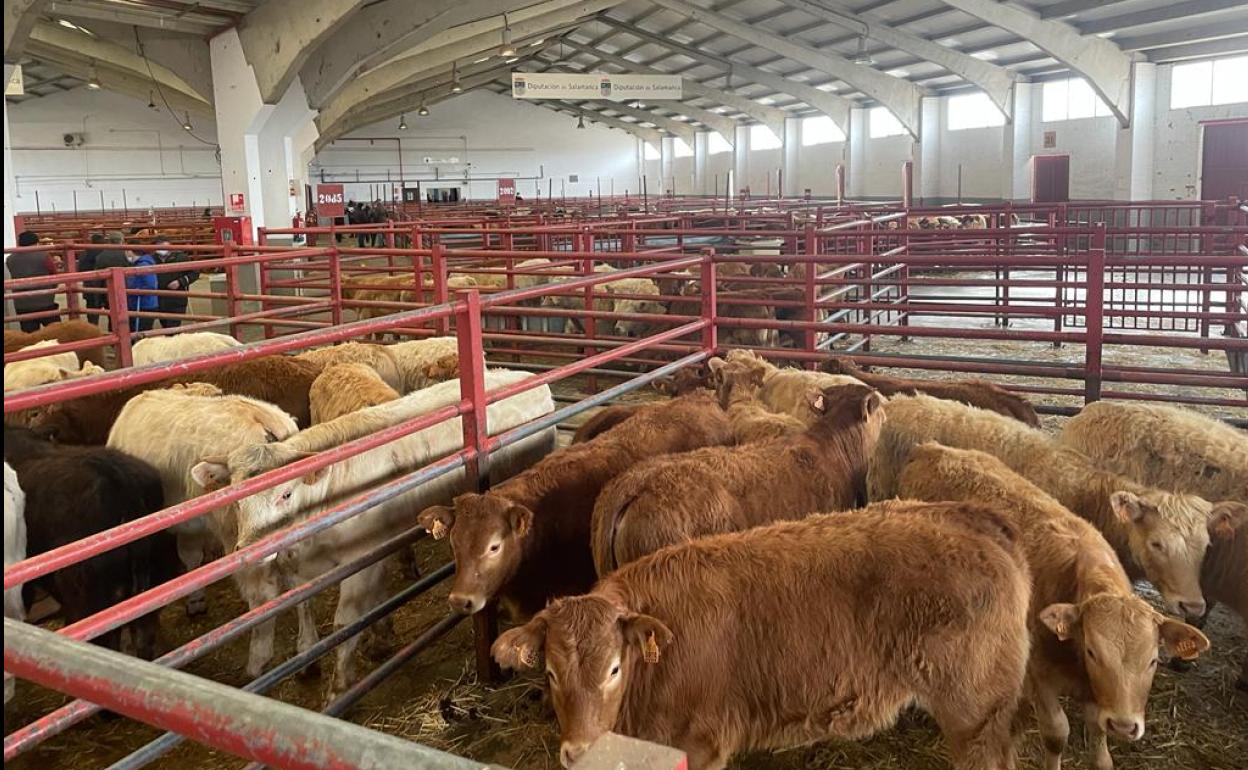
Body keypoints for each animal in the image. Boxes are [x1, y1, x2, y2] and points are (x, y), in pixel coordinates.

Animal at [491, 499, 1028, 768]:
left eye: (614, 668)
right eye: (552, 673)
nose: (578, 753)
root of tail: (972, 517)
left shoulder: (700, 746)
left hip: (975, 714)